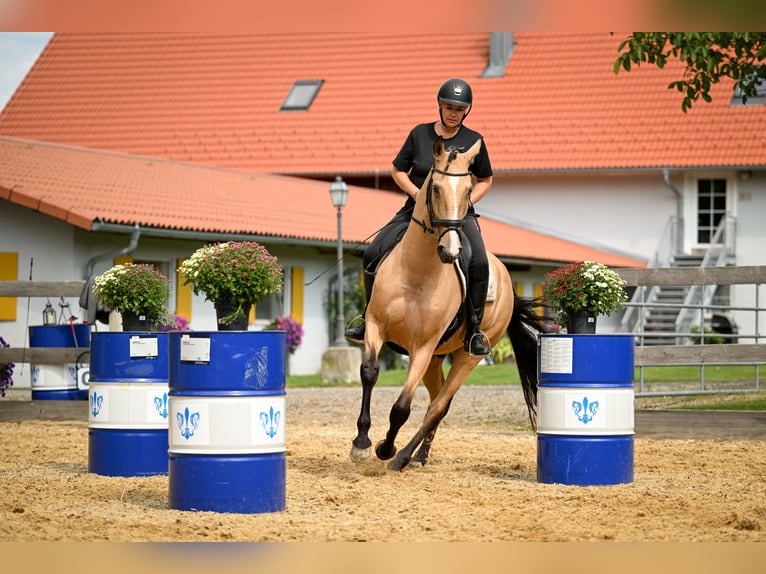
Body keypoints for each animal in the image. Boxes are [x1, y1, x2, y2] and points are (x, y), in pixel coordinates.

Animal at [352, 135, 548, 472]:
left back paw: (403, 456)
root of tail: (507, 280)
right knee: (435, 399)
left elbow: (402, 407)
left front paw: (385, 449)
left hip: (466, 356)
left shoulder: (423, 347)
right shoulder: (376, 327)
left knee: (439, 405)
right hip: (436, 358)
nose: (450, 250)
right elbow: (369, 372)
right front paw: (361, 443)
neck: (416, 273)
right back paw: (419, 455)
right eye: (435, 189)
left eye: (468, 191)